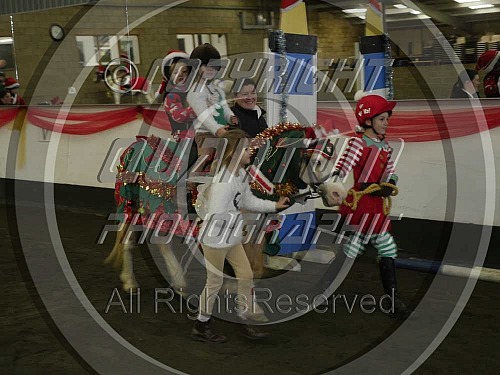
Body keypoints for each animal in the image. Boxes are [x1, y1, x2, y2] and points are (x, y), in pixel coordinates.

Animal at [106, 125, 346, 296]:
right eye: (316, 161)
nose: (338, 194)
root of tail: (135, 147)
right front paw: (230, 286)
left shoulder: (256, 227)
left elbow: (257, 268)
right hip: (146, 206)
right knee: (145, 242)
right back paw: (142, 280)